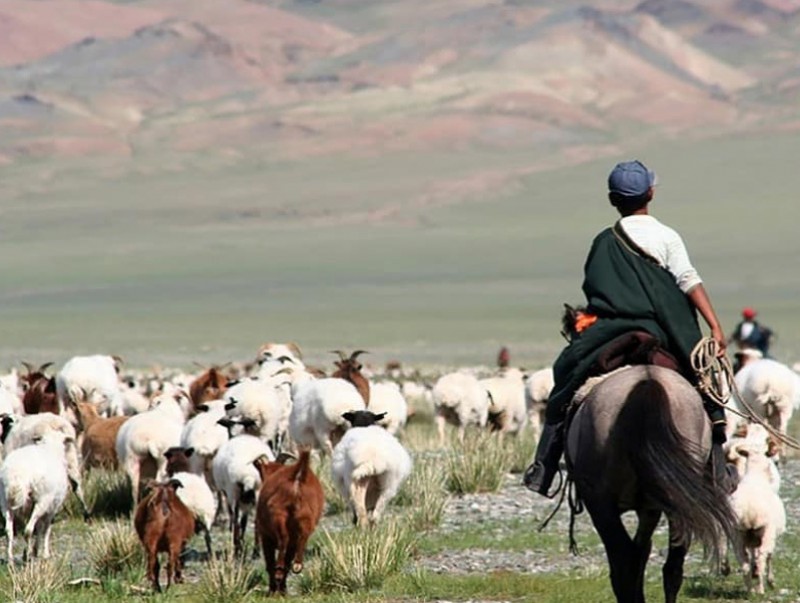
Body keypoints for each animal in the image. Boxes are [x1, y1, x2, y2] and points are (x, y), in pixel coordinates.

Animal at [0, 430, 72, 560]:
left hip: (5, 500)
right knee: (28, 530)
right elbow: (45, 529)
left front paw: (36, 550)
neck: (50, 448)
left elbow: (39, 527)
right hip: (43, 500)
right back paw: (26, 555)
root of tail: (17, 474)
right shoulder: (52, 508)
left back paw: (10, 558)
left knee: (9, 531)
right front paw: (44, 553)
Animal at [253, 452, 322, 596]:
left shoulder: (265, 536)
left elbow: (269, 562)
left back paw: (279, 570)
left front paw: (273, 589)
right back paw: (297, 565)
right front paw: (282, 589)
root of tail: (297, 477)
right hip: (306, 517)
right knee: (301, 538)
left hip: (278, 515)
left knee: (283, 540)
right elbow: (288, 558)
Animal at [564, 366, 736, 600]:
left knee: (623, 562)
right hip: (680, 503)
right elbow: (643, 552)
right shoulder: (650, 509)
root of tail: (648, 382)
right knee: (671, 567)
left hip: (601, 505)